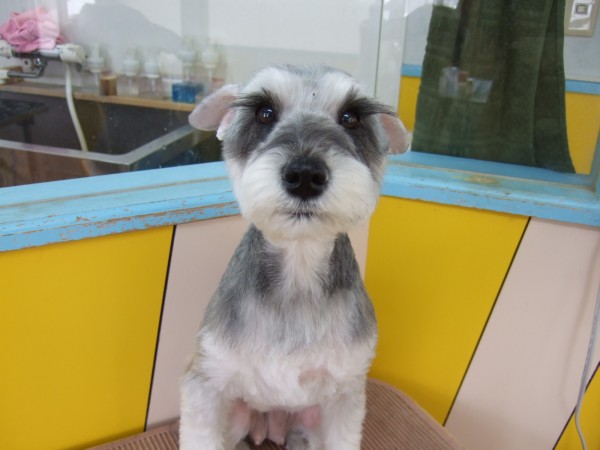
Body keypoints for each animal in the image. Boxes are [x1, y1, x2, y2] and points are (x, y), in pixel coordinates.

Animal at [180, 65, 408, 450]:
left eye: (351, 117)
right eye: (264, 113)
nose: (304, 175)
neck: (298, 274)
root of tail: (271, 426)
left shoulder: (345, 396)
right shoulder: (206, 383)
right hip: (238, 415)